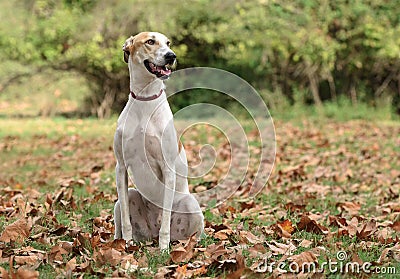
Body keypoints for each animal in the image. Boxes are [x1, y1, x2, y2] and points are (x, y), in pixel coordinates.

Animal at [114, 31, 205, 250]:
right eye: (150, 41)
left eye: (168, 43)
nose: (171, 56)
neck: (145, 99)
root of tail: (151, 235)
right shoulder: (121, 167)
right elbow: (126, 220)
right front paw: (125, 246)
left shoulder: (167, 168)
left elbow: (165, 222)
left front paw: (163, 250)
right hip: (124, 199)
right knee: (120, 219)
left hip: (190, 204)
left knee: (191, 233)